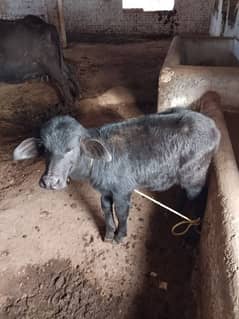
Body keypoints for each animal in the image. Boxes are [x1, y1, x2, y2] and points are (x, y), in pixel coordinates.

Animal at [13, 107, 220, 242]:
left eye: (70, 148)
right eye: (44, 148)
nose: (50, 181)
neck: (97, 164)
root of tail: (212, 127)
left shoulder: (122, 191)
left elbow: (121, 212)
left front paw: (120, 236)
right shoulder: (105, 191)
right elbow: (106, 208)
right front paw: (108, 234)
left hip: (195, 177)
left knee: (195, 197)